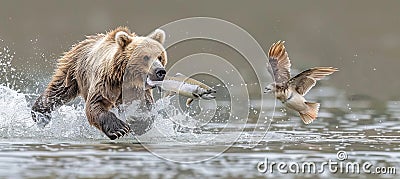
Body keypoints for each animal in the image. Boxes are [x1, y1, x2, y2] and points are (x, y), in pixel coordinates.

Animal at [31, 26, 167, 140]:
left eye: (160, 57)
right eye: (146, 57)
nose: (160, 71)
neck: (123, 77)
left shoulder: (137, 89)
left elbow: (146, 106)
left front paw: (139, 123)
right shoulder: (106, 82)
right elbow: (95, 104)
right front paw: (119, 129)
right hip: (73, 70)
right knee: (59, 90)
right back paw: (39, 114)